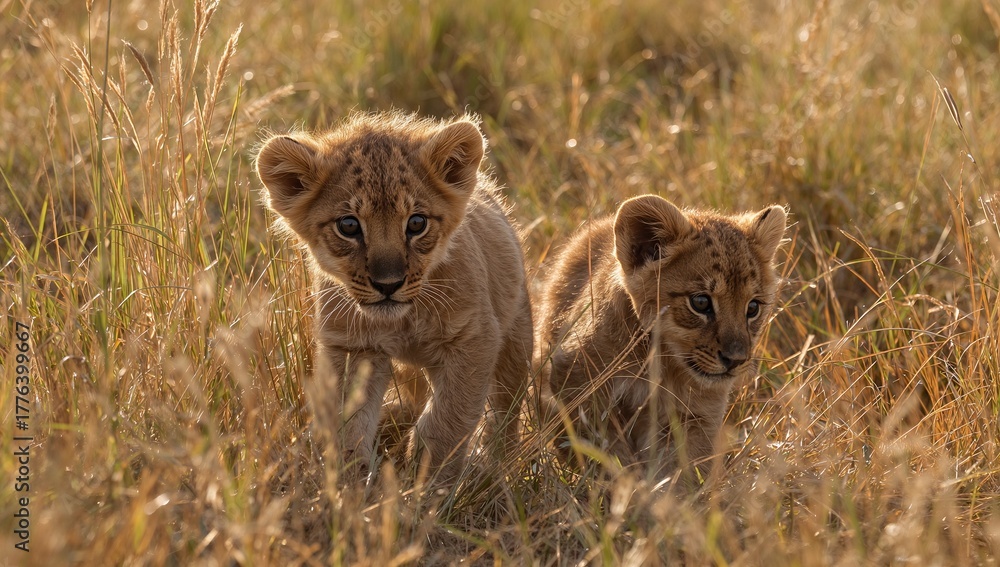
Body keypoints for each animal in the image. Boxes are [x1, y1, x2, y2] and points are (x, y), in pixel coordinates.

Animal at [255, 112, 533, 484]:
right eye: (348, 226)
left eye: (416, 223)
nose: (388, 284)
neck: (403, 321)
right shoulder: (353, 347)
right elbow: (348, 422)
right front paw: (352, 484)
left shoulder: (474, 339)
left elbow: (447, 420)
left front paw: (430, 484)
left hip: (516, 338)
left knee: (506, 408)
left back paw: (499, 465)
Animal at [537, 194, 787, 484]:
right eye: (700, 302)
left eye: (753, 307)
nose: (736, 360)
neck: (660, 361)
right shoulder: (577, 384)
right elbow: (608, 454)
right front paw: (628, 489)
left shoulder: (698, 414)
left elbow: (683, 470)